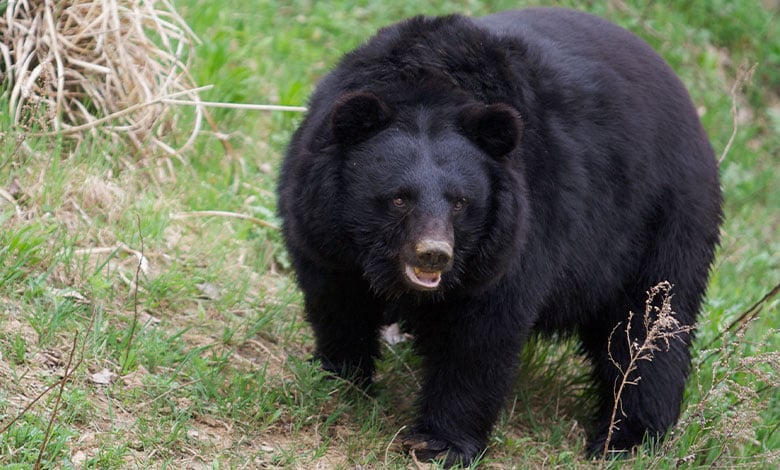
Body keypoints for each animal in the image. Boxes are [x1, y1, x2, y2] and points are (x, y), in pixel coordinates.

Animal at [277, 7, 722, 467]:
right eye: (398, 198)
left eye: (460, 202)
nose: (434, 254)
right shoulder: (323, 228)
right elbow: (337, 303)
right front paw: (338, 379)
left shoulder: (517, 231)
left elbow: (482, 333)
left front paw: (440, 443)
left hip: (663, 221)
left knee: (652, 326)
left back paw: (627, 438)